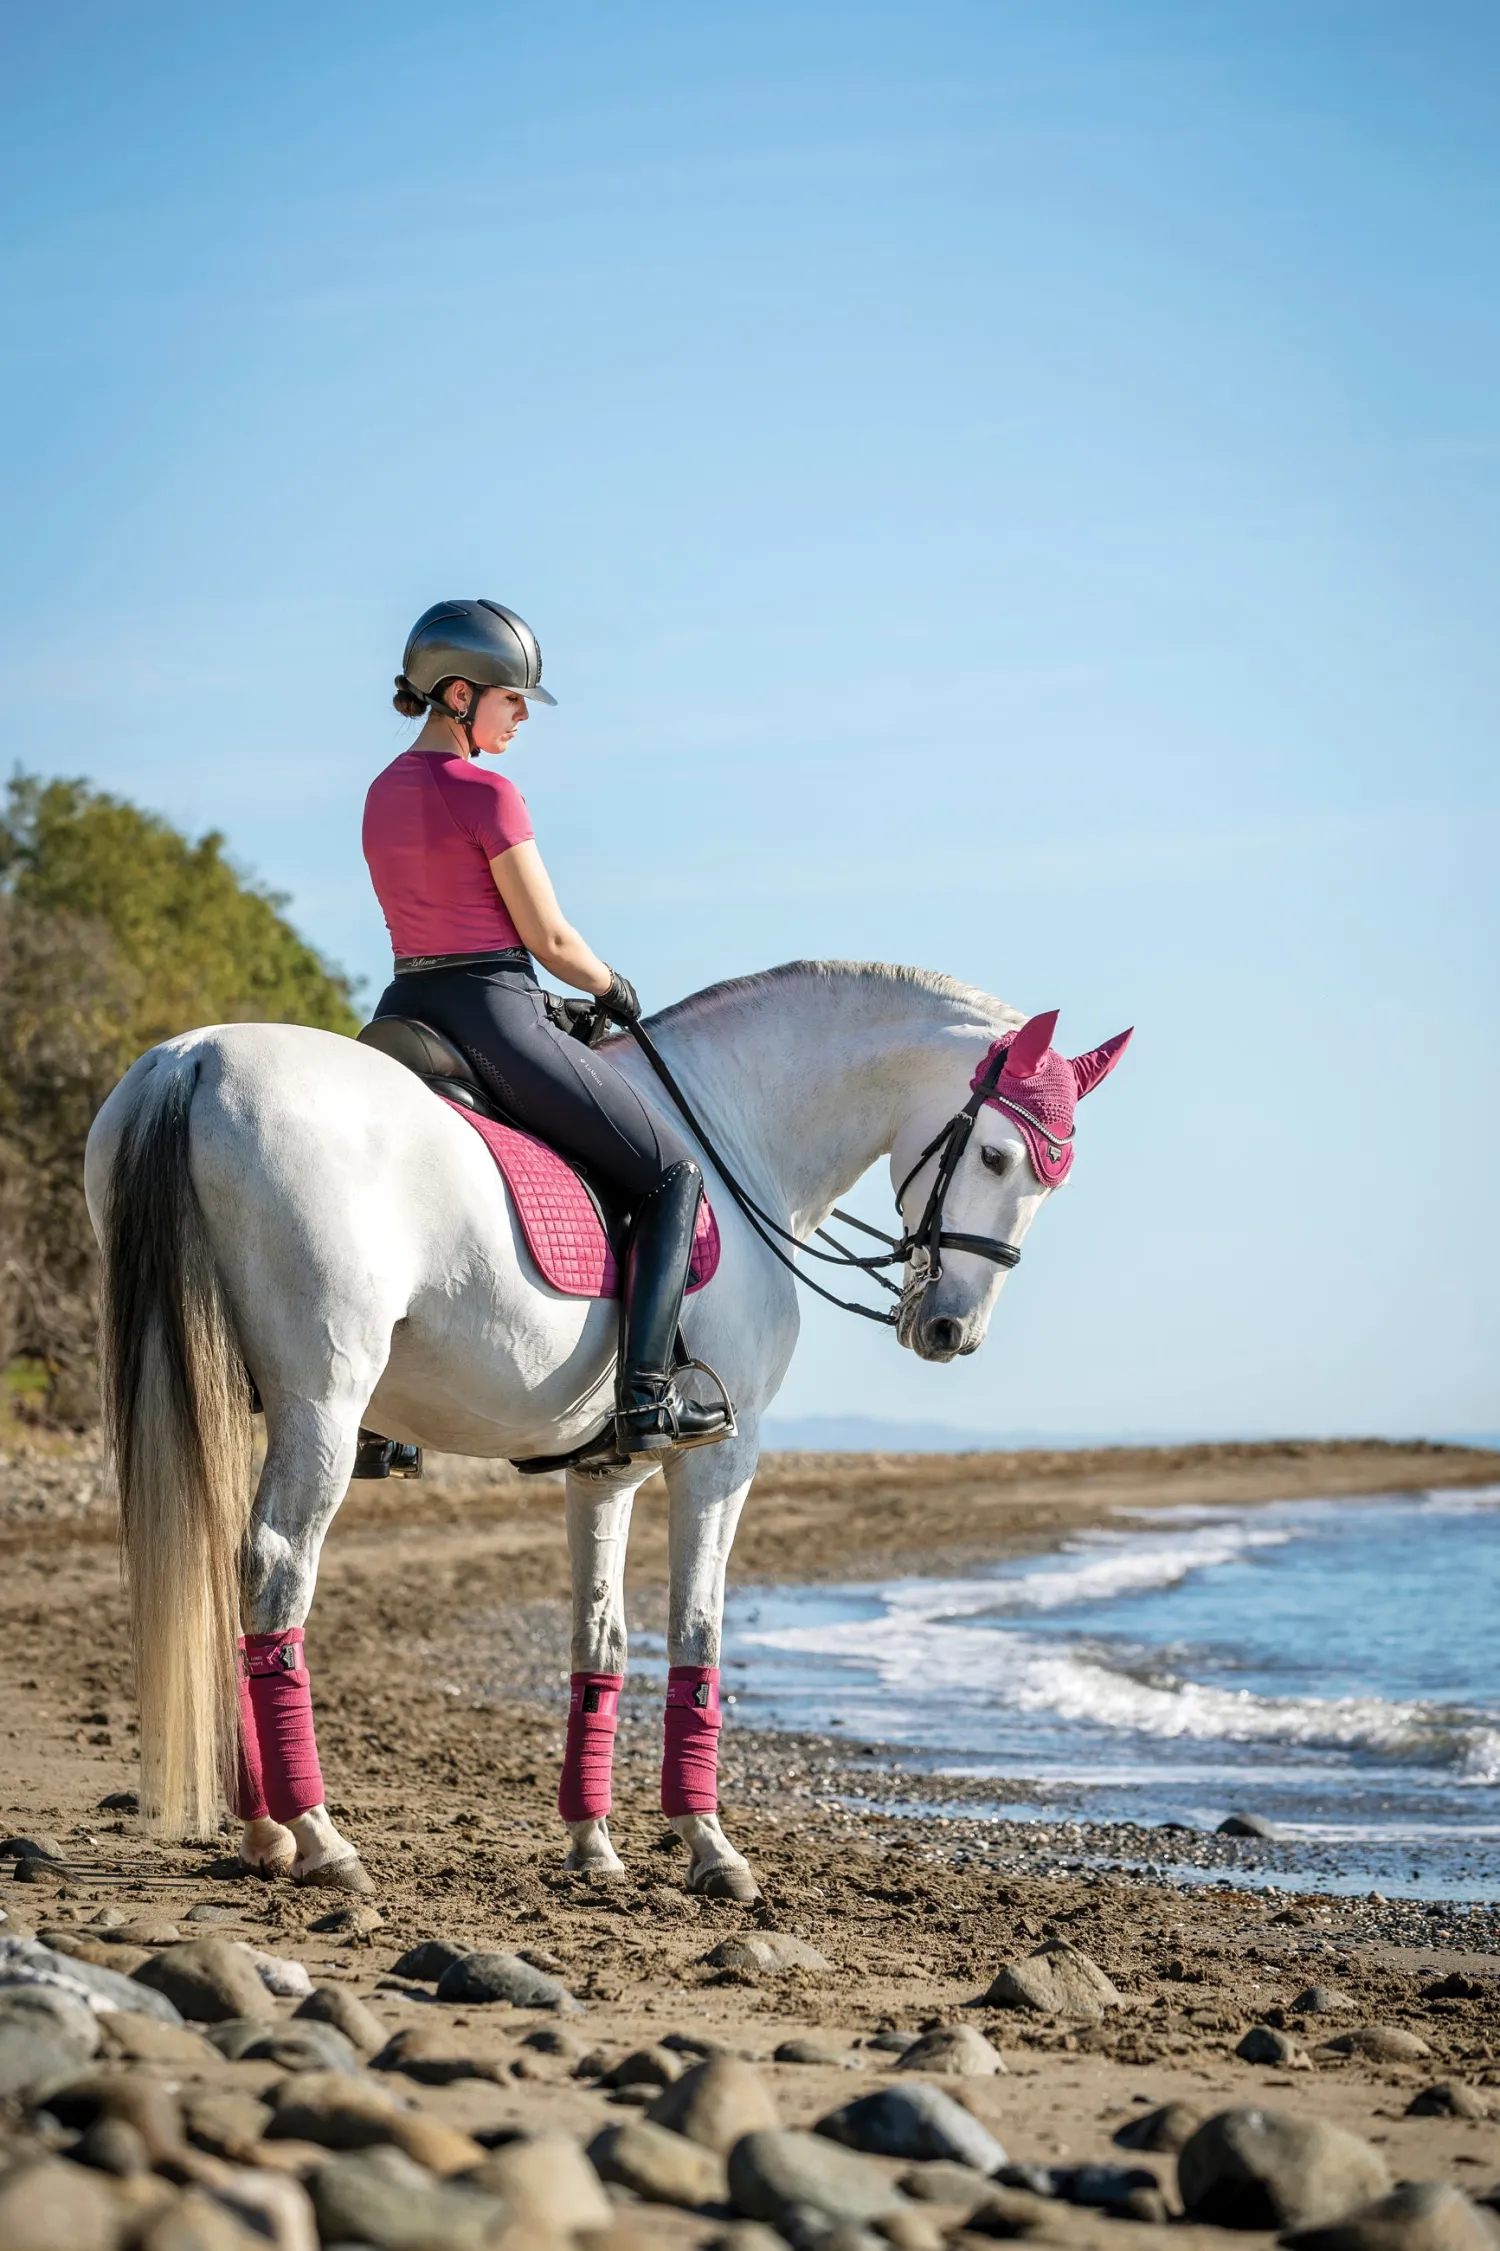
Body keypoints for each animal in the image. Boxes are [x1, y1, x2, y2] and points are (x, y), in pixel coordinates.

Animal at [84, 959, 1129, 1902]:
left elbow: (602, 1639)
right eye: (995, 1157)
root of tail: (194, 1058)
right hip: (323, 1400)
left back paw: (262, 1829)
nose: (952, 1330)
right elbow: (696, 1632)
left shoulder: (607, 1469)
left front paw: (593, 1844)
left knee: (220, 1566)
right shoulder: (724, 1458)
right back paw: (317, 1834)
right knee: (273, 1568)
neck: (734, 1127)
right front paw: (709, 1846)